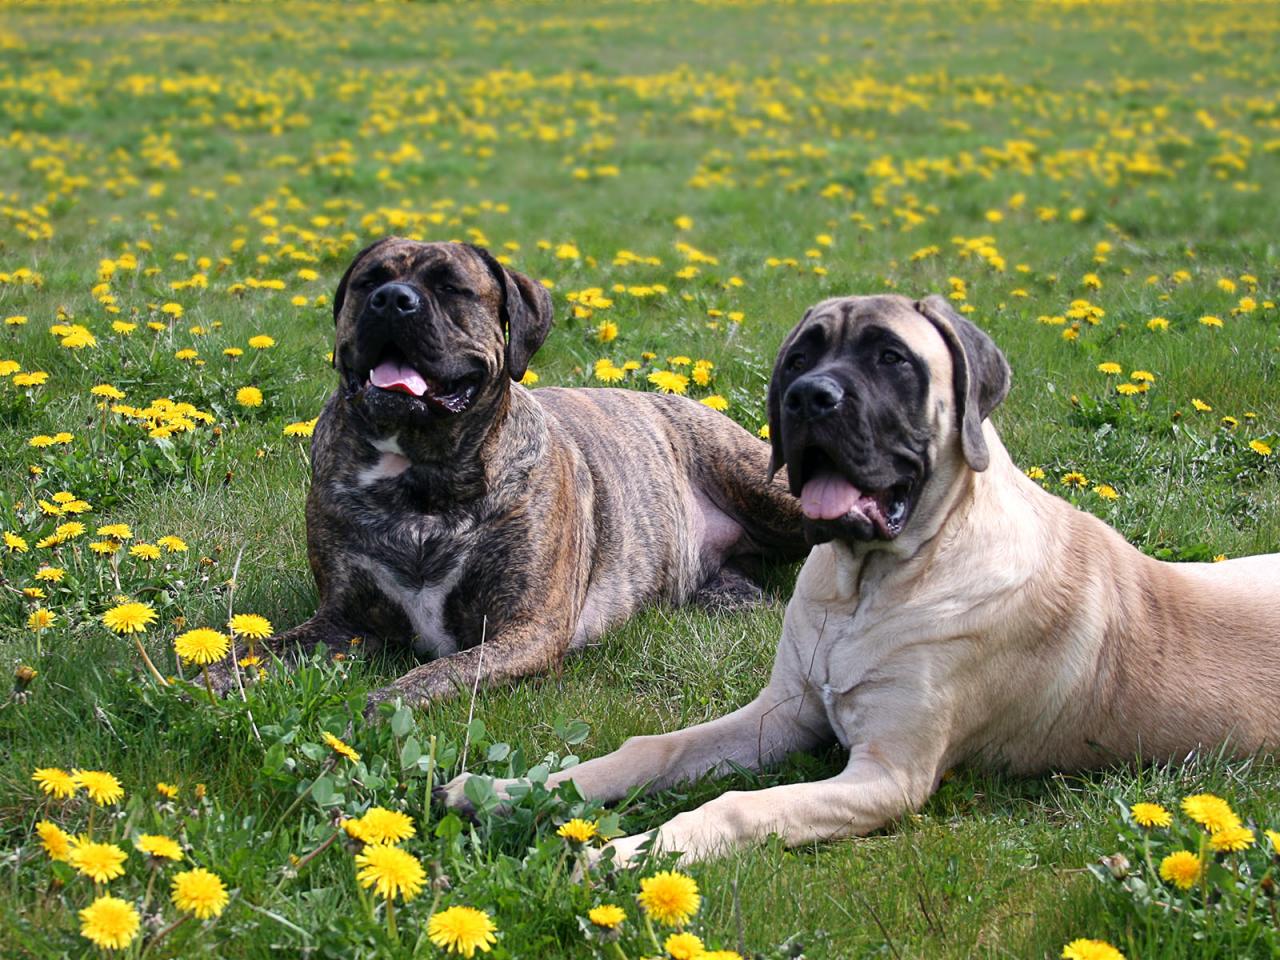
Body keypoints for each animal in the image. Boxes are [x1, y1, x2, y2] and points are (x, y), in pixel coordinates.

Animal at [229, 236, 803, 711]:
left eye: (451, 288)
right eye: (369, 281)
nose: (392, 299)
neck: (420, 479)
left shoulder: (527, 629)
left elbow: (432, 677)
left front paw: (366, 714)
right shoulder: (341, 621)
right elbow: (247, 651)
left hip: (762, 486)